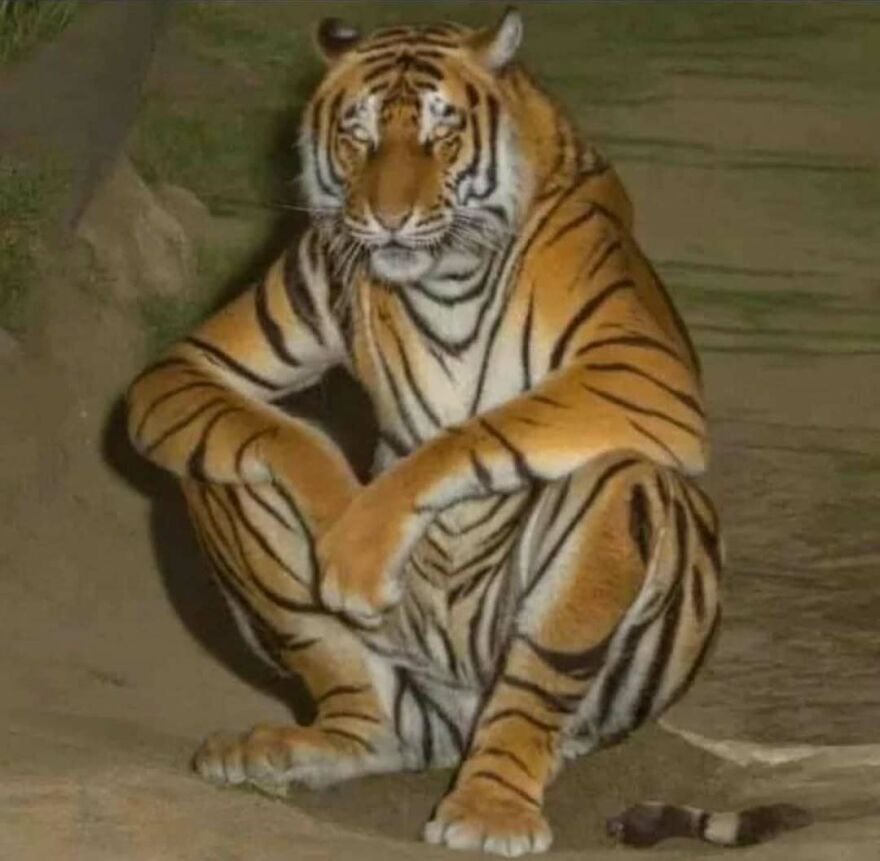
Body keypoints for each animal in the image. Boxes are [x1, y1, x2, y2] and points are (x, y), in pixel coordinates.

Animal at [125, 10, 810, 856]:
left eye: (439, 135)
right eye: (357, 136)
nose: (387, 217)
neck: (442, 275)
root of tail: (448, 729)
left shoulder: (645, 371)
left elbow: (478, 431)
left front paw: (362, 535)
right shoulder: (208, 357)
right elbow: (282, 431)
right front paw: (339, 526)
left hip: (590, 614)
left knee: (547, 658)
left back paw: (490, 807)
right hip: (337, 619)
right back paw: (306, 744)